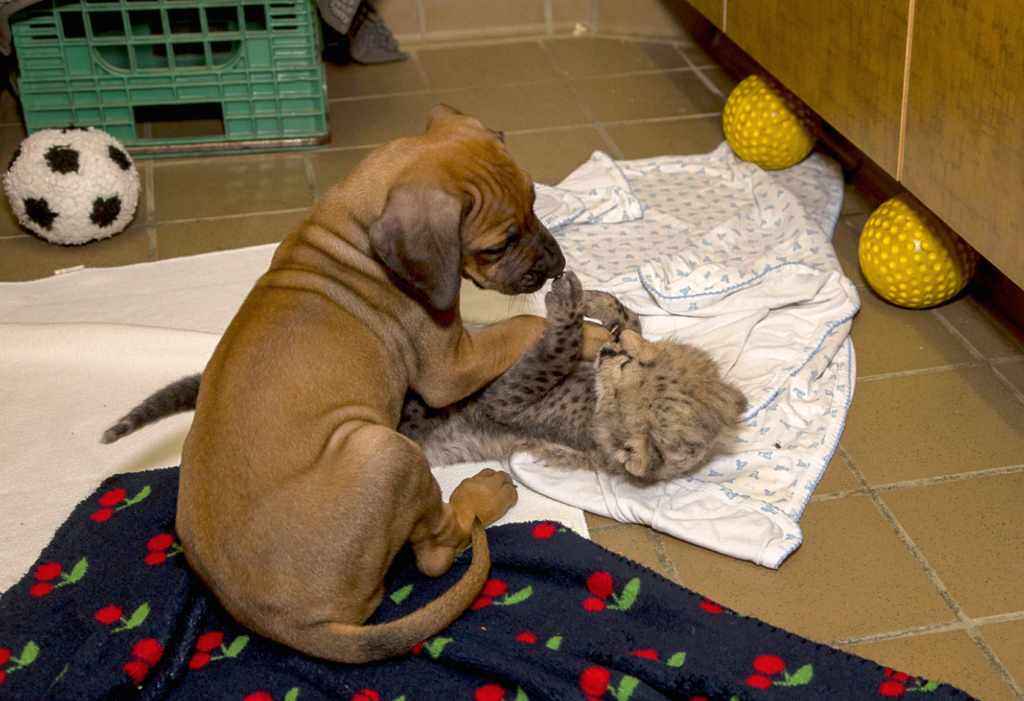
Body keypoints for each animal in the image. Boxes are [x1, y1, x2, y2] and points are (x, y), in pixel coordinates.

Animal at [176, 103, 606, 663]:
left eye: (535, 203)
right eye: (499, 244)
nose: (558, 265)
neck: (350, 235)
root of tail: (293, 626)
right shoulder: (449, 366)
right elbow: (521, 324)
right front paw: (592, 332)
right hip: (391, 453)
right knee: (435, 552)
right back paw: (482, 494)